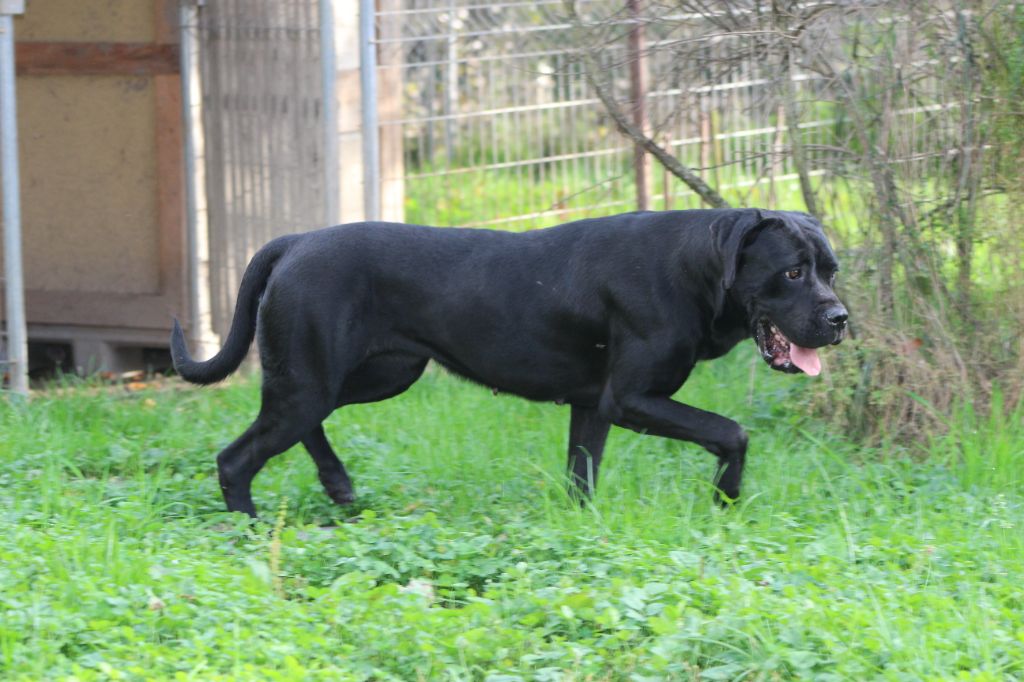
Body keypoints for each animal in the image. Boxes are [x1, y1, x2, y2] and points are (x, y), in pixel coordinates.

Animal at [174, 206, 847, 516]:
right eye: (792, 272)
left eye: (832, 270)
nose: (840, 319)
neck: (698, 268)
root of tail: (294, 241)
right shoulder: (631, 399)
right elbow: (731, 433)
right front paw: (725, 501)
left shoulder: (592, 405)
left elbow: (582, 473)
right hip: (318, 378)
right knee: (237, 457)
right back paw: (249, 526)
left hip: (366, 375)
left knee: (299, 426)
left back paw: (340, 487)